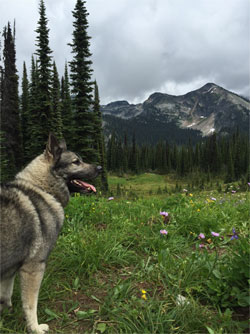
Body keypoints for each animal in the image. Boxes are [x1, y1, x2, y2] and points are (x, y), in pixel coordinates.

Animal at [0, 134, 101, 334]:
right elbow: (30, 305)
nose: (100, 168)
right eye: (76, 161)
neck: (43, 188)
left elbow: (5, 294)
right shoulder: (34, 267)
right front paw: (35, 328)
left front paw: (6, 313)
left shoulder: (10, 269)